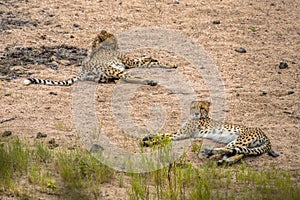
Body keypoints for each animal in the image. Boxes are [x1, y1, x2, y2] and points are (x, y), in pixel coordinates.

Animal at [25, 30, 178, 86]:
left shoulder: (132, 62)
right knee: (127, 77)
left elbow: (148, 60)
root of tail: (82, 71)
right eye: (113, 39)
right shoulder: (131, 62)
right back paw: (149, 80)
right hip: (114, 70)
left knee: (113, 79)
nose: (117, 43)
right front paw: (170, 64)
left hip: (101, 76)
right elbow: (150, 61)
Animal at [141, 101, 278, 165]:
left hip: (241, 140)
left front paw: (148, 142)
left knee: (236, 152)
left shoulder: (182, 134)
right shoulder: (181, 132)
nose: (196, 113)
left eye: (202, 108)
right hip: (238, 142)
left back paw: (210, 152)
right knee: (236, 152)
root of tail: (265, 135)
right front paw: (148, 136)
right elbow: (164, 134)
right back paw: (223, 160)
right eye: (194, 107)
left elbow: (166, 136)